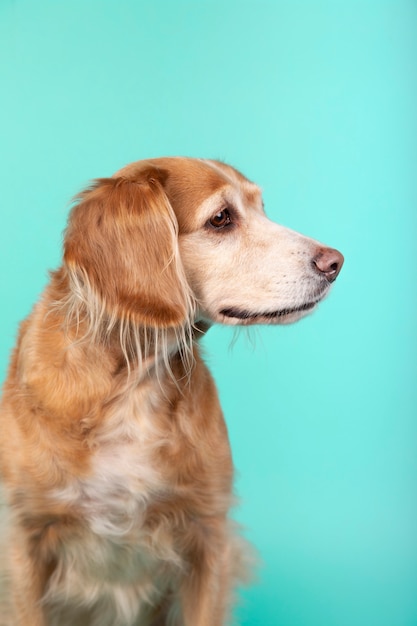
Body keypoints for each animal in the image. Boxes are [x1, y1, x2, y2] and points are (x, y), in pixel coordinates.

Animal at [0, 155, 342, 620]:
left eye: (262, 208)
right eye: (221, 218)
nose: (335, 262)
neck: (134, 382)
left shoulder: (209, 536)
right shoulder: (23, 542)